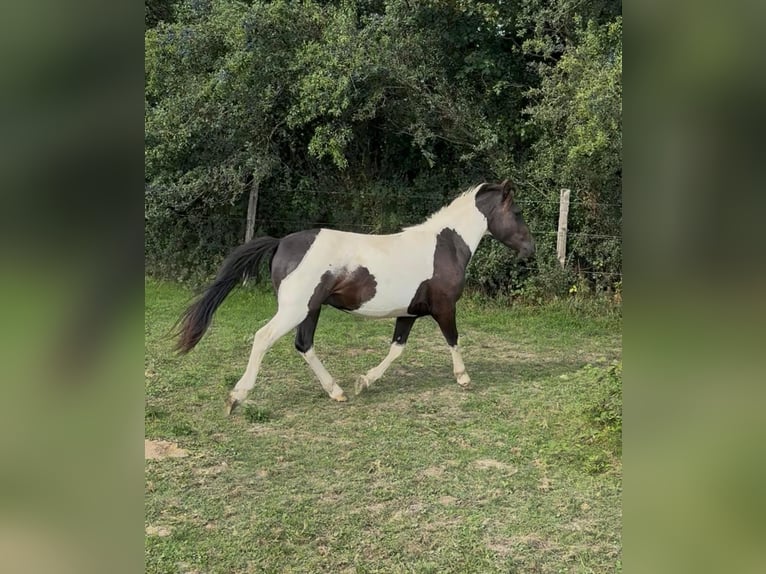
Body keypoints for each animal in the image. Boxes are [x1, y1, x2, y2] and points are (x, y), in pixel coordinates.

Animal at [175, 179, 535, 414]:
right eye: (517, 211)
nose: (530, 250)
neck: (445, 245)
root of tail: (280, 243)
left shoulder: (409, 312)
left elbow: (397, 349)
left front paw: (365, 381)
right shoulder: (444, 307)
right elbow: (453, 339)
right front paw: (463, 378)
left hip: (310, 310)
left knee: (304, 344)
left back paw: (337, 392)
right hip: (295, 309)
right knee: (264, 337)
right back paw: (236, 397)